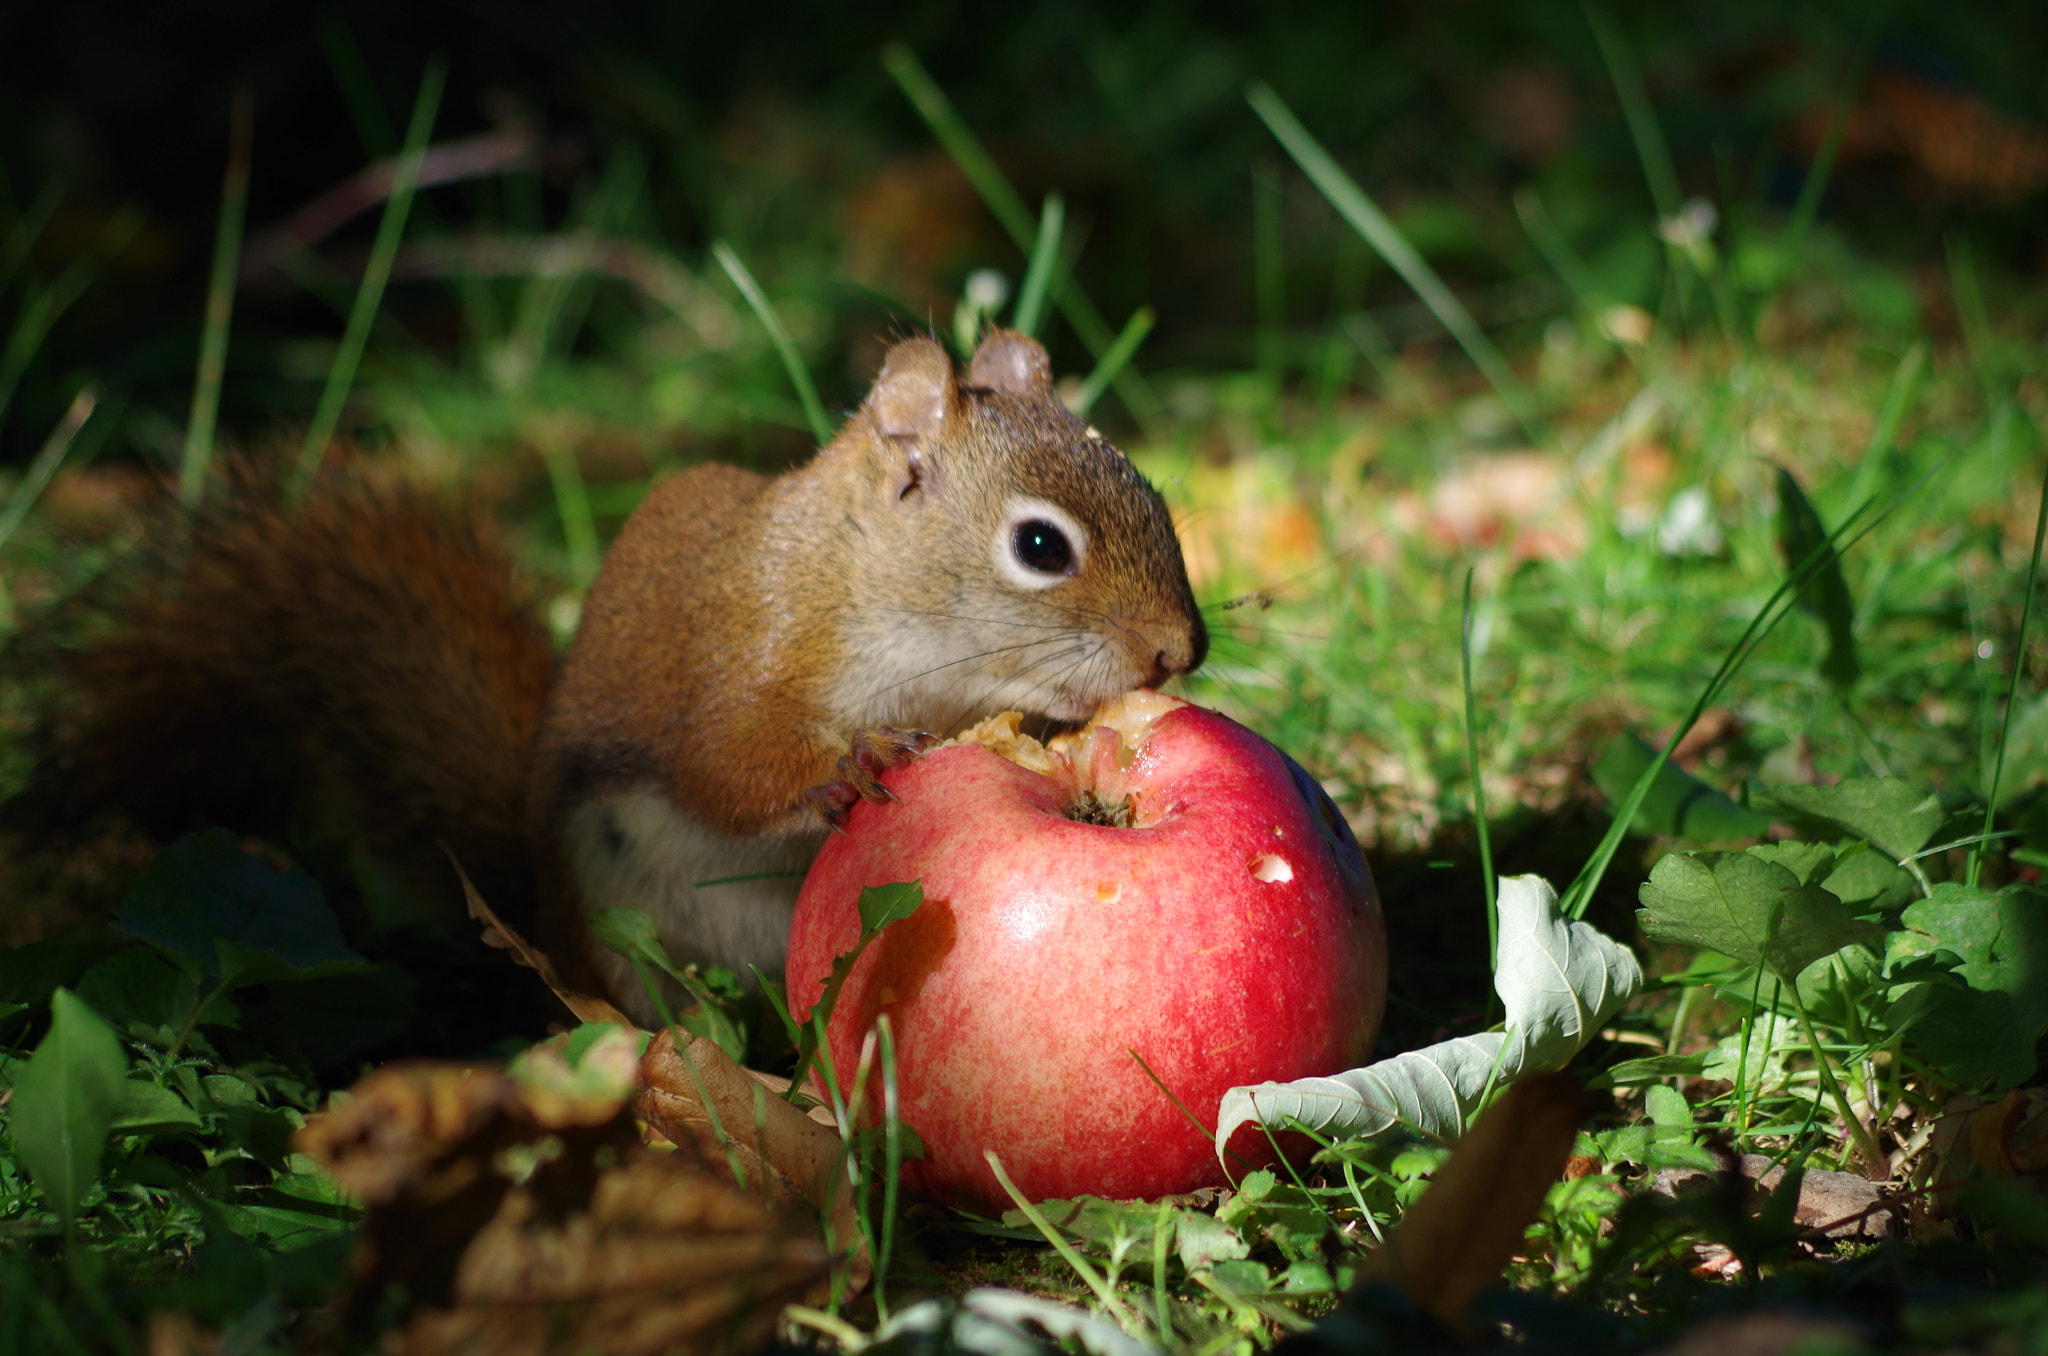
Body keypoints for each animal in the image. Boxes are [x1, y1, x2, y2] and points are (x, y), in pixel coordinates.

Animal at [44, 329, 1212, 1024]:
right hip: (614, 935)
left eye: (1152, 491)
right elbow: (726, 767)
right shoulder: (743, 656)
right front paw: (849, 763)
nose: (1178, 654)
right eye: (1040, 547)